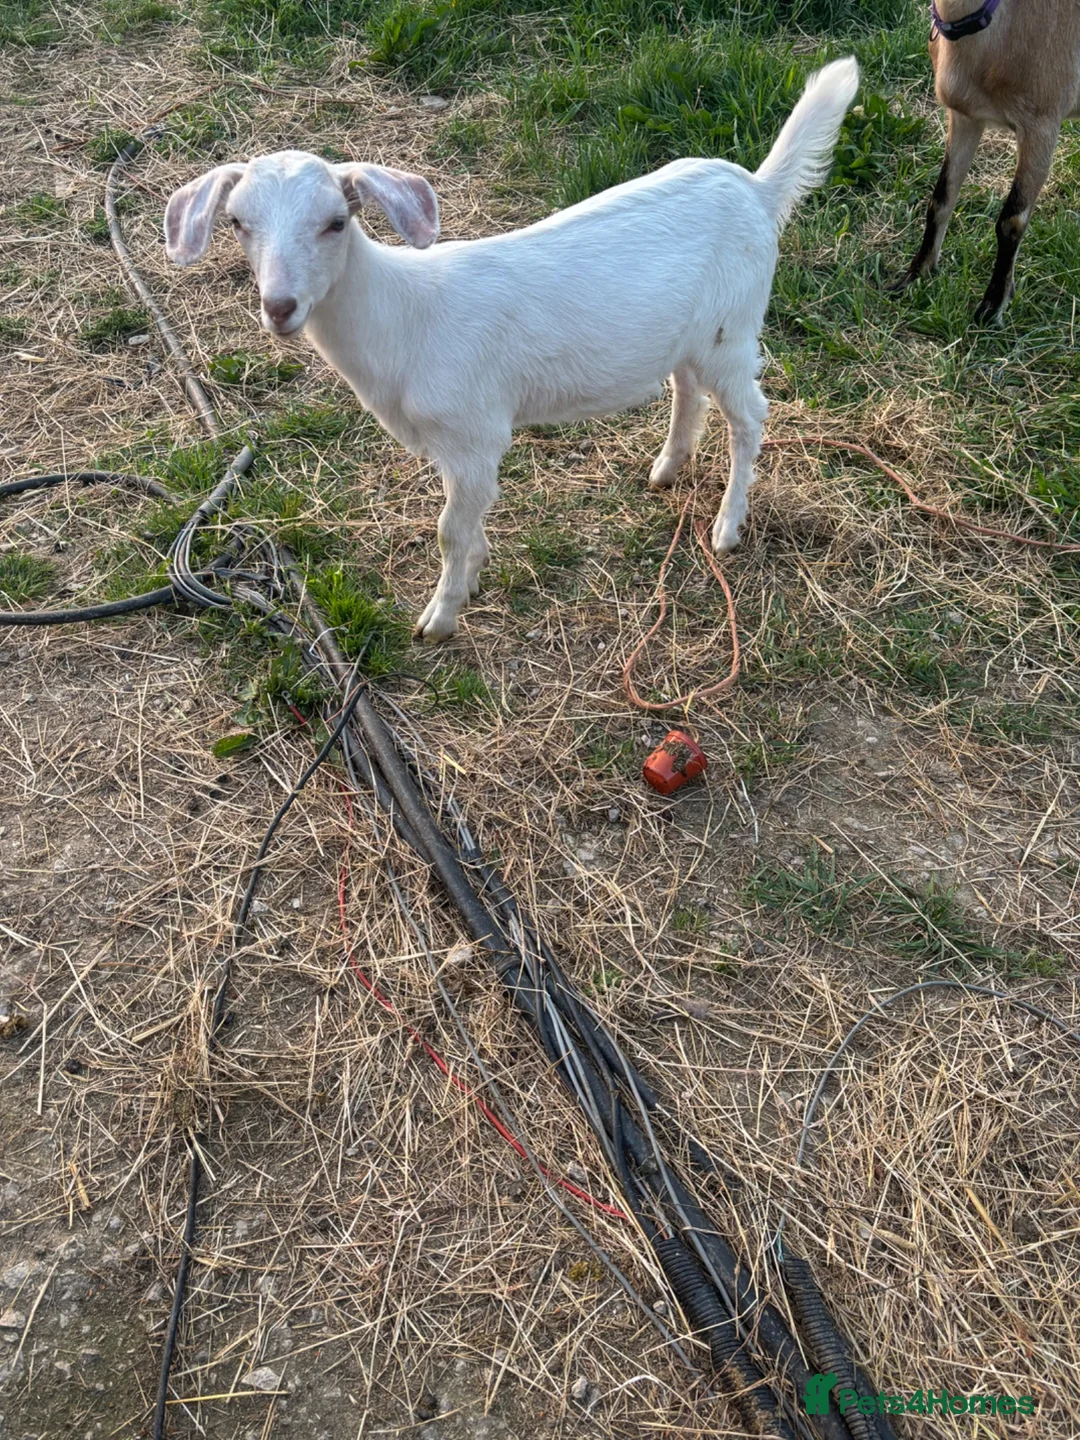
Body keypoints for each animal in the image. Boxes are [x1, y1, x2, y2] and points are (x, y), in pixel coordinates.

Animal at [165, 57, 858, 641]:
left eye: (337, 222)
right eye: (237, 223)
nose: (280, 307)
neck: (404, 320)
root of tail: (758, 191)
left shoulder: (474, 433)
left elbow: (448, 530)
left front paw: (439, 618)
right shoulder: (455, 445)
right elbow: (466, 526)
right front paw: (472, 575)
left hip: (731, 328)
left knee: (750, 416)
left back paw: (727, 527)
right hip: (687, 337)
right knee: (688, 391)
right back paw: (667, 469)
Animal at [898, 0, 1080, 322]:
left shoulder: (1042, 124)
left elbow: (1012, 221)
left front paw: (992, 308)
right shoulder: (965, 116)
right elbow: (940, 199)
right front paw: (916, 275)